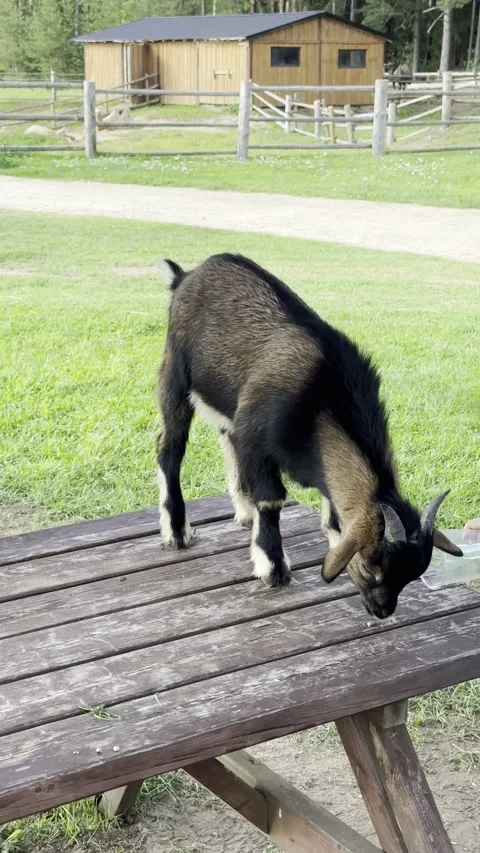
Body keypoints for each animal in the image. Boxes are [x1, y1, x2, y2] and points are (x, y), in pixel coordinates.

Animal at [156, 254, 461, 619]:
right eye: (372, 567)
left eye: (413, 575)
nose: (381, 610)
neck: (325, 391)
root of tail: (185, 276)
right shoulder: (258, 438)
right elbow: (271, 500)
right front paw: (272, 567)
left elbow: (331, 507)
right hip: (175, 375)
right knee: (170, 450)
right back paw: (177, 531)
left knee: (226, 439)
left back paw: (244, 512)